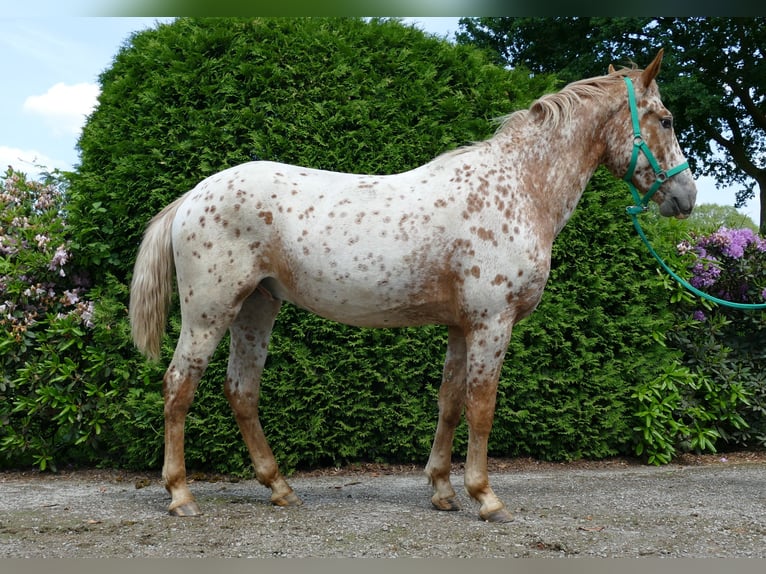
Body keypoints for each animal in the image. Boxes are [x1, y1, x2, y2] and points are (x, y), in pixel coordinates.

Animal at [129, 50, 700, 528]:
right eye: (666, 119)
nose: (686, 196)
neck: (518, 187)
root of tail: (194, 195)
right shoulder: (492, 323)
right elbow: (482, 405)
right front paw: (486, 497)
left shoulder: (460, 327)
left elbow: (450, 402)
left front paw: (443, 491)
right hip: (209, 312)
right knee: (179, 386)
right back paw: (181, 495)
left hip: (256, 308)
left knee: (241, 391)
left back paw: (280, 488)